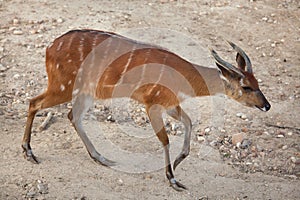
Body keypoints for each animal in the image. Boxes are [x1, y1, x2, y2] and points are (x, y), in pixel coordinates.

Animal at [22, 29, 270, 191]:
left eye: (258, 82)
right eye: (246, 86)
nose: (266, 105)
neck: (185, 78)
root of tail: (49, 47)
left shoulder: (171, 105)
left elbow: (189, 122)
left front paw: (179, 162)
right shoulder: (152, 104)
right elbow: (165, 139)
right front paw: (172, 179)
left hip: (86, 91)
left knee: (72, 115)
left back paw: (101, 158)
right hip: (63, 85)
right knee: (35, 102)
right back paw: (29, 152)